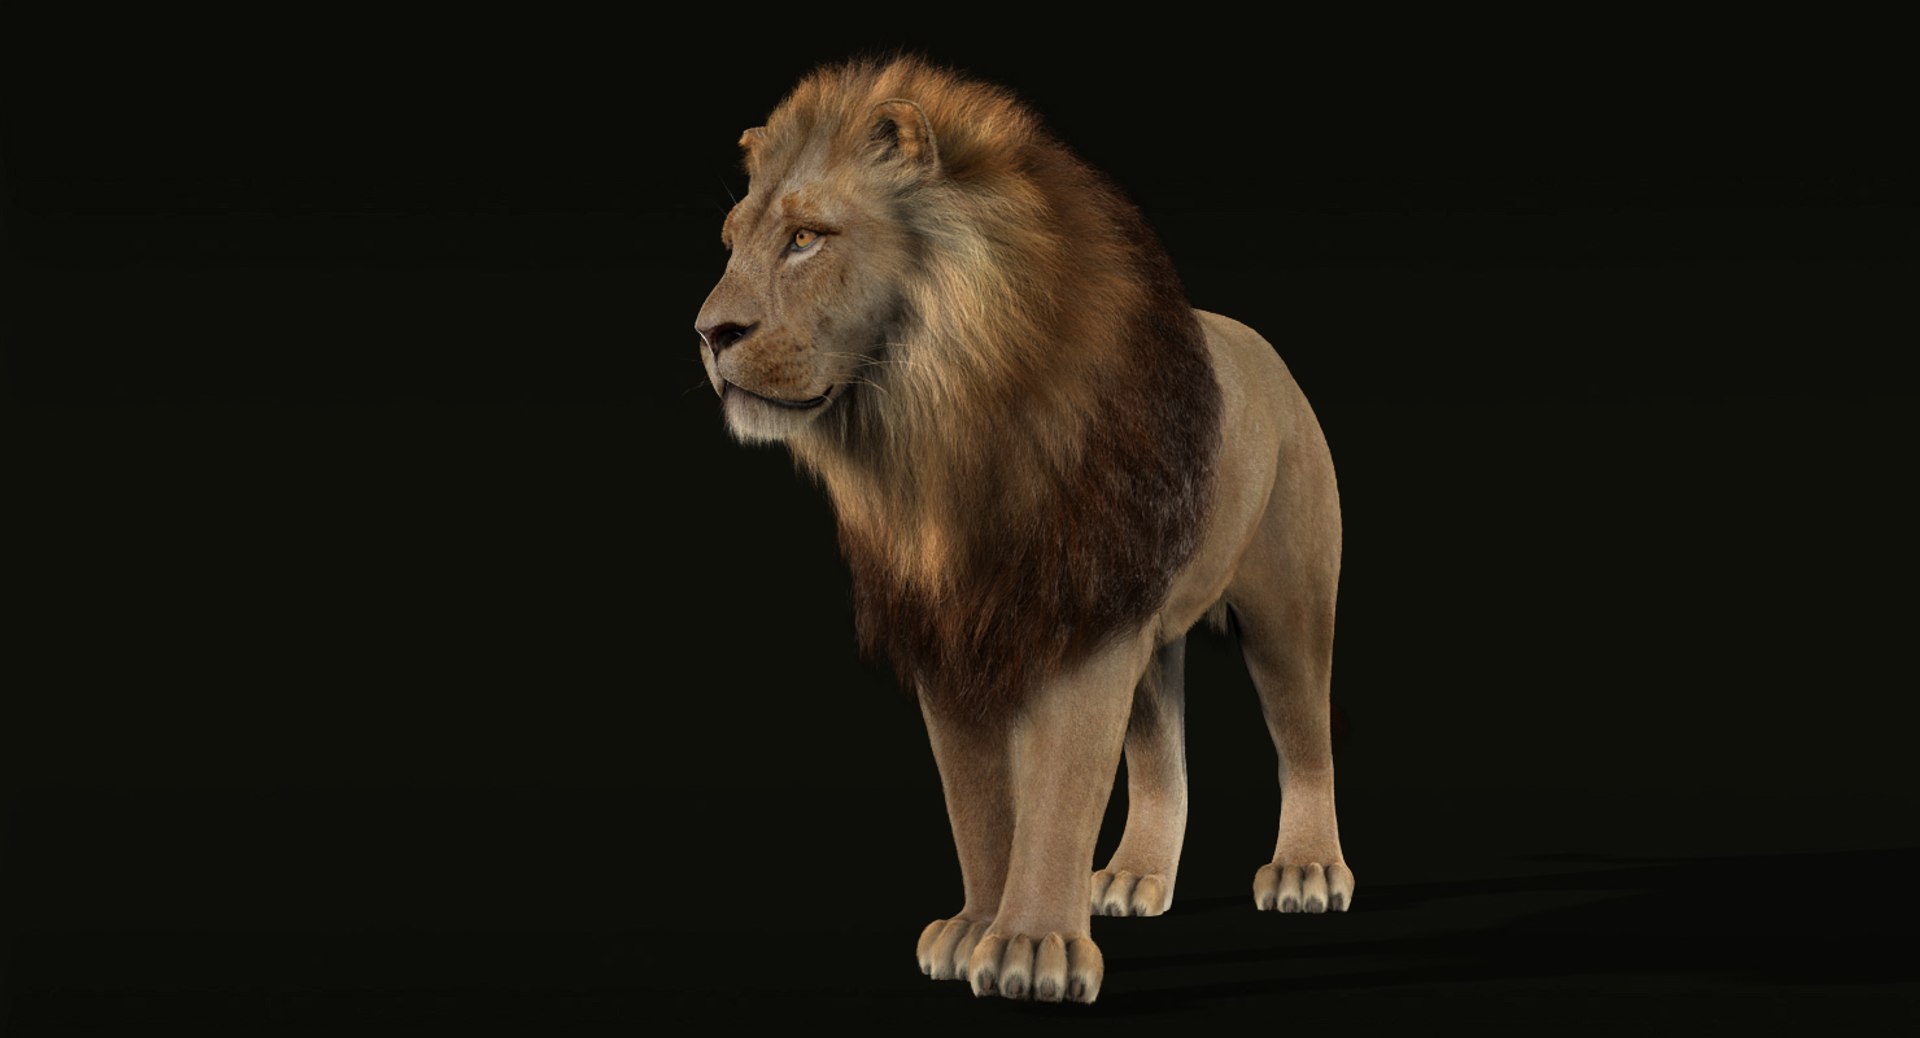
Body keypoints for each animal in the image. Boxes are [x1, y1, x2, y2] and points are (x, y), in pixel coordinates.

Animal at [694, 57, 1353, 1004]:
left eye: (806, 238)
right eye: (731, 241)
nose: (709, 335)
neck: (940, 433)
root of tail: (1267, 349)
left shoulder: (1082, 616)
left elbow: (1060, 789)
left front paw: (1033, 946)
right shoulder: (945, 630)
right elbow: (975, 798)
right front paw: (976, 926)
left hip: (1287, 600)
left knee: (1305, 736)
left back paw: (1306, 871)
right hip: (1151, 628)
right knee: (1162, 758)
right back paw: (1132, 878)